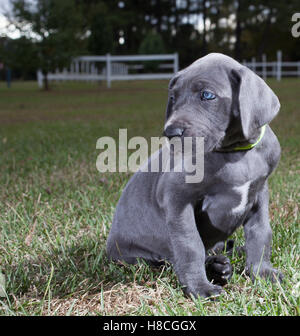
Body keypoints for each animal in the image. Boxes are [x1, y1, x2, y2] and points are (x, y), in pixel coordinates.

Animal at [106, 53, 282, 298]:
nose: (170, 132)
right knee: (167, 260)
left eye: (207, 95)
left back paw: (224, 261)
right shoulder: (177, 198)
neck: (235, 153)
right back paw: (216, 268)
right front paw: (200, 288)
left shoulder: (260, 194)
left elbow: (261, 233)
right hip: (138, 257)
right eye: (173, 98)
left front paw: (262, 272)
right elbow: (190, 245)